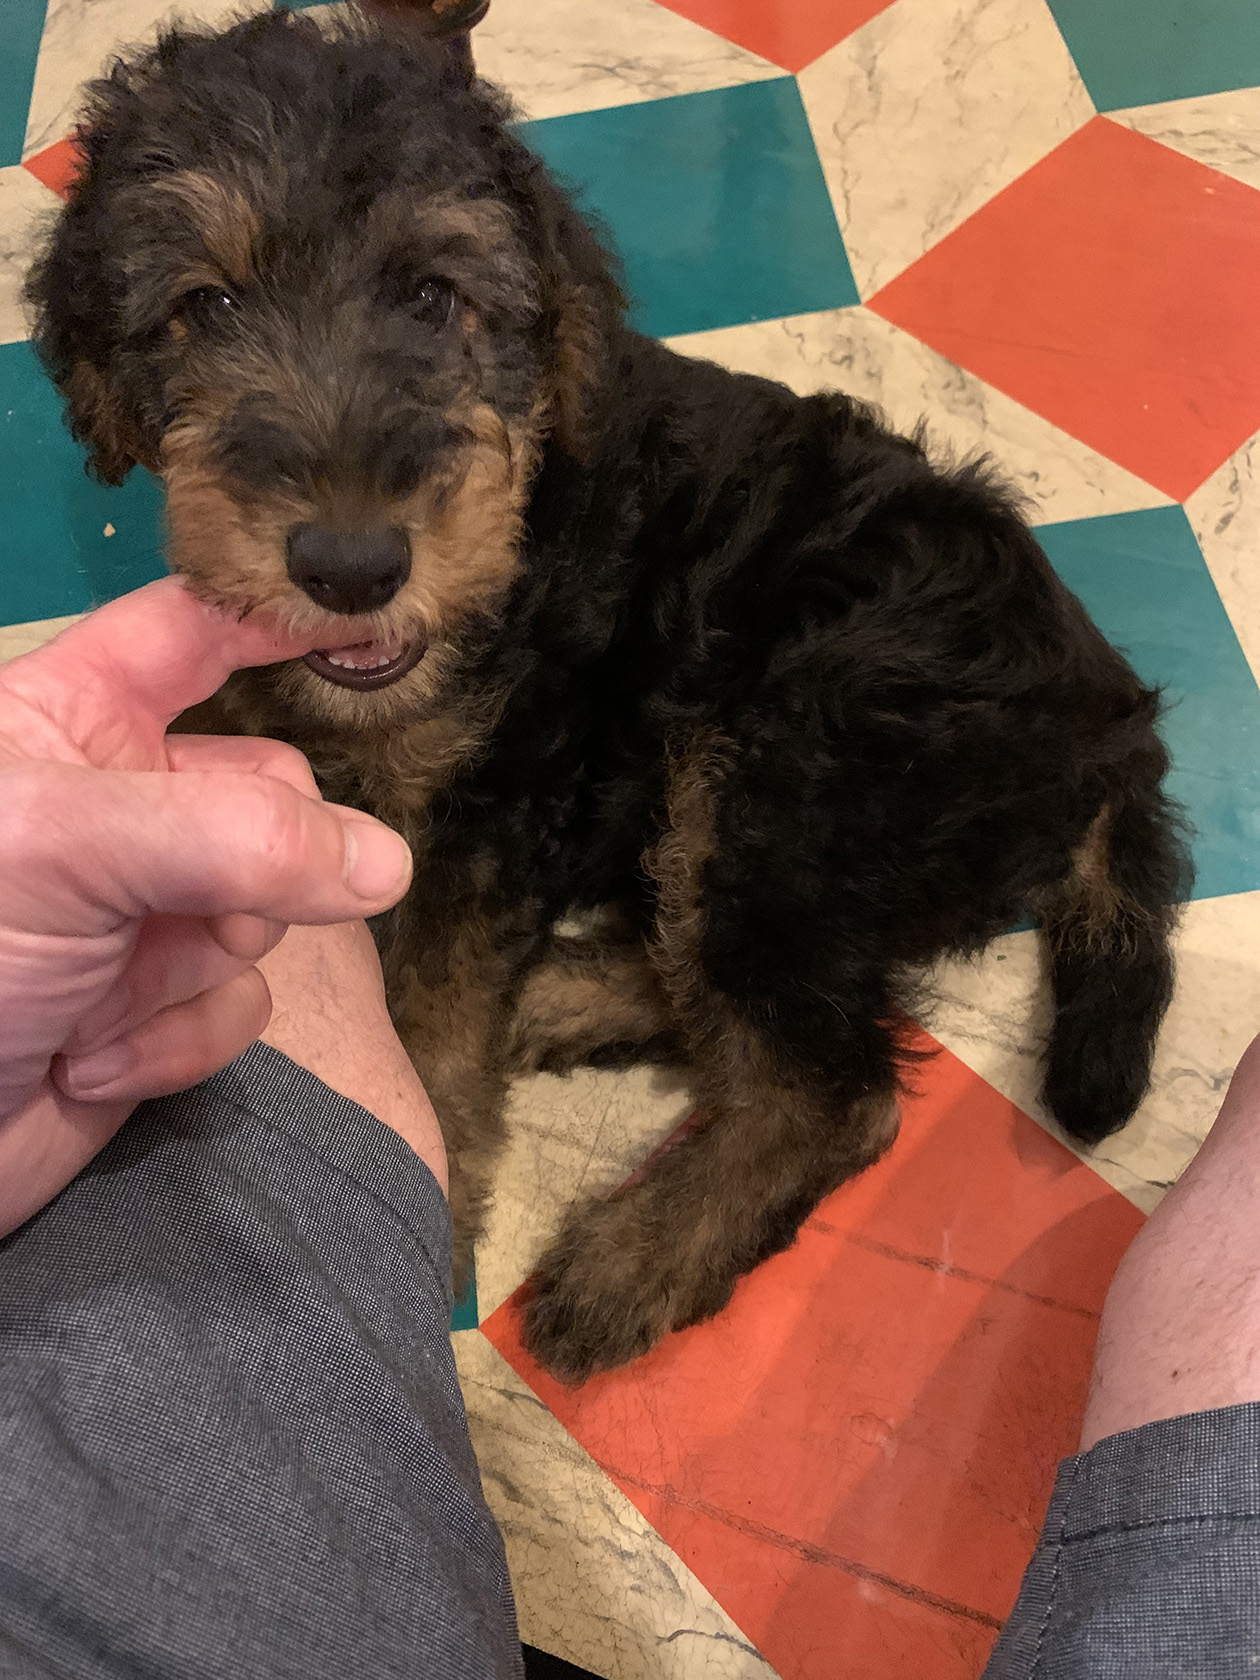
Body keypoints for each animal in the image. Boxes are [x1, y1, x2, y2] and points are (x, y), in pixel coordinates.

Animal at [27, 10, 1190, 1383]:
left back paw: (633, 1257)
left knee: (825, 1079)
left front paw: (437, 1186)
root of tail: (1110, 718)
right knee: (729, 980)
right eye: (203, 305)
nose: (353, 567)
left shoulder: (501, 795)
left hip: (795, 763)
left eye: (434, 294)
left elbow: (438, 1009)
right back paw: (570, 998)